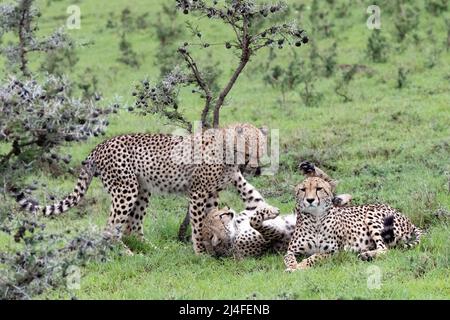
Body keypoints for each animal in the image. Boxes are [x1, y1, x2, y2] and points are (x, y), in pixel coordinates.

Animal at [15, 122, 274, 252]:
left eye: (262, 149)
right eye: (249, 149)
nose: (255, 168)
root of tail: (100, 145)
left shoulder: (214, 192)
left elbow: (249, 202)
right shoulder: (199, 192)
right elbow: (199, 224)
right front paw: (202, 253)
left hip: (142, 190)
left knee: (132, 227)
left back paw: (154, 251)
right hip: (125, 190)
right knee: (110, 228)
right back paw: (126, 254)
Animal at [202, 164, 354, 258]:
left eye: (219, 211)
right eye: (221, 216)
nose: (228, 209)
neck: (235, 227)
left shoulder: (255, 202)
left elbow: (243, 185)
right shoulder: (276, 236)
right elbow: (255, 222)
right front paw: (271, 212)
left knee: (329, 187)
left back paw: (312, 171)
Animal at [284, 170, 424, 270]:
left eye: (319, 189)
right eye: (302, 190)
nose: (310, 200)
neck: (315, 220)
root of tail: (406, 217)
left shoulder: (334, 252)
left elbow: (315, 256)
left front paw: (300, 266)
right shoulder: (291, 251)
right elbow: (289, 258)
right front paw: (293, 266)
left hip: (372, 216)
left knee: (385, 248)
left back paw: (367, 255)